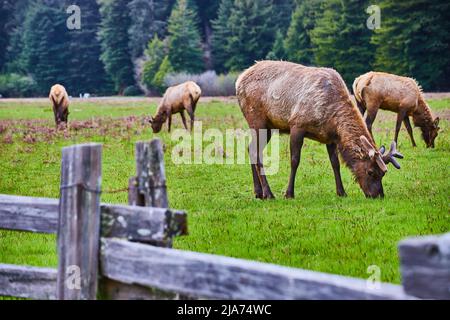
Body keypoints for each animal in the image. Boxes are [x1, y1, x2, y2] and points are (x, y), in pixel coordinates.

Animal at [234, 61, 402, 199]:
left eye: (383, 174)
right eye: (370, 172)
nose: (378, 195)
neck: (332, 118)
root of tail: (238, 81)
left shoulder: (330, 137)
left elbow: (335, 163)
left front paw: (341, 192)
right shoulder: (297, 125)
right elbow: (294, 160)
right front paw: (289, 193)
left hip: (269, 126)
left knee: (251, 149)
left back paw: (258, 192)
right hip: (257, 119)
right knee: (257, 152)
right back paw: (268, 194)